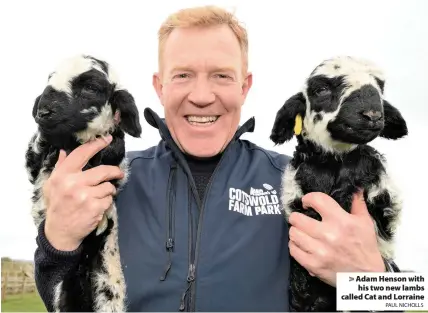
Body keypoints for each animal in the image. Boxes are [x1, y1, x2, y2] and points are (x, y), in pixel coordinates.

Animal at [25, 53, 142, 310]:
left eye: (90, 88)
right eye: (50, 80)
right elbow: (34, 154)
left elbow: (114, 148)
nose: (43, 112)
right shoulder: (33, 166)